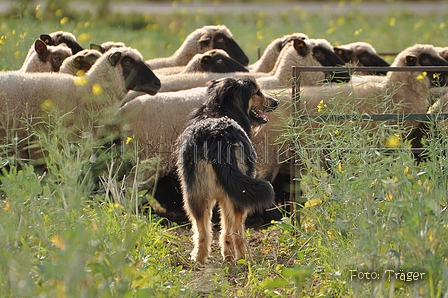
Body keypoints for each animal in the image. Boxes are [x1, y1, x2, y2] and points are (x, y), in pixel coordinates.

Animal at [176, 75, 278, 264]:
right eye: (257, 92)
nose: (276, 102)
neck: (219, 109)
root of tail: (218, 134)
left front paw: (227, 254)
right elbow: (228, 227)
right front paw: (229, 254)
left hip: (195, 192)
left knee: (202, 230)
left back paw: (199, 259)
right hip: (237, 193)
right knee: (237, 229)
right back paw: (244, 259)